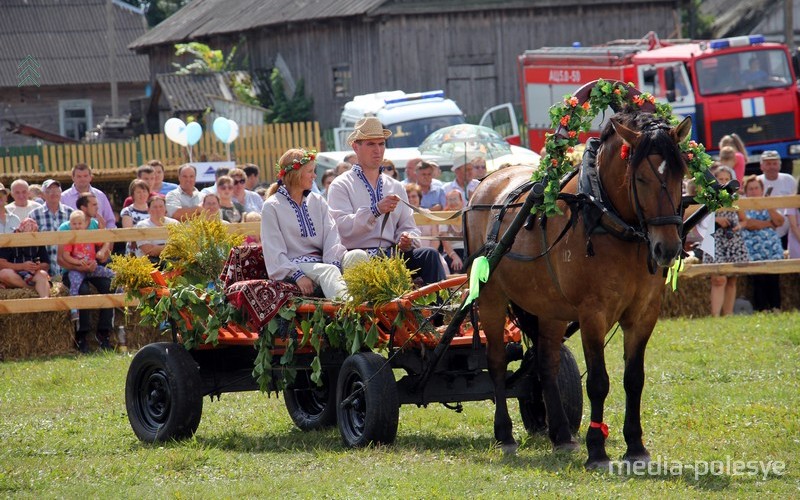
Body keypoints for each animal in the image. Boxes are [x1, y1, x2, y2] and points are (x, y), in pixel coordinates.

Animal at [466, 103, 692, 466]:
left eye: (678, 174)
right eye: (640, 178)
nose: (667, 248)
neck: (607, 218)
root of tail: (487, 181)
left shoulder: (643, 314)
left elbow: (634, 379)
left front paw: (635, 445)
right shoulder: (592, 315)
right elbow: (599, 382)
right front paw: (597, 449)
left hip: (550, 309)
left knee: (547, 363)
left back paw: (560, 433)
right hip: (491, 298)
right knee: (497, 362)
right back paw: (504, 435)